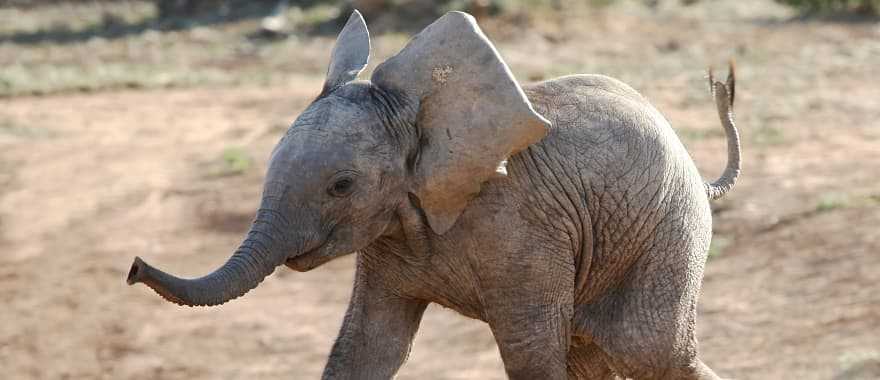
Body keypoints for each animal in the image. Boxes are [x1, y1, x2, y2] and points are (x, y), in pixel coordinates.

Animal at [127, 10, 740, 378]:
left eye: (341, 186)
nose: (132, 267)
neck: (419, 119)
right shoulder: (389, 233)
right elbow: (368, 345)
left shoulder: (521, 230)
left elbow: (531, 352)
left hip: (668, 230)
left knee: (650, 350)